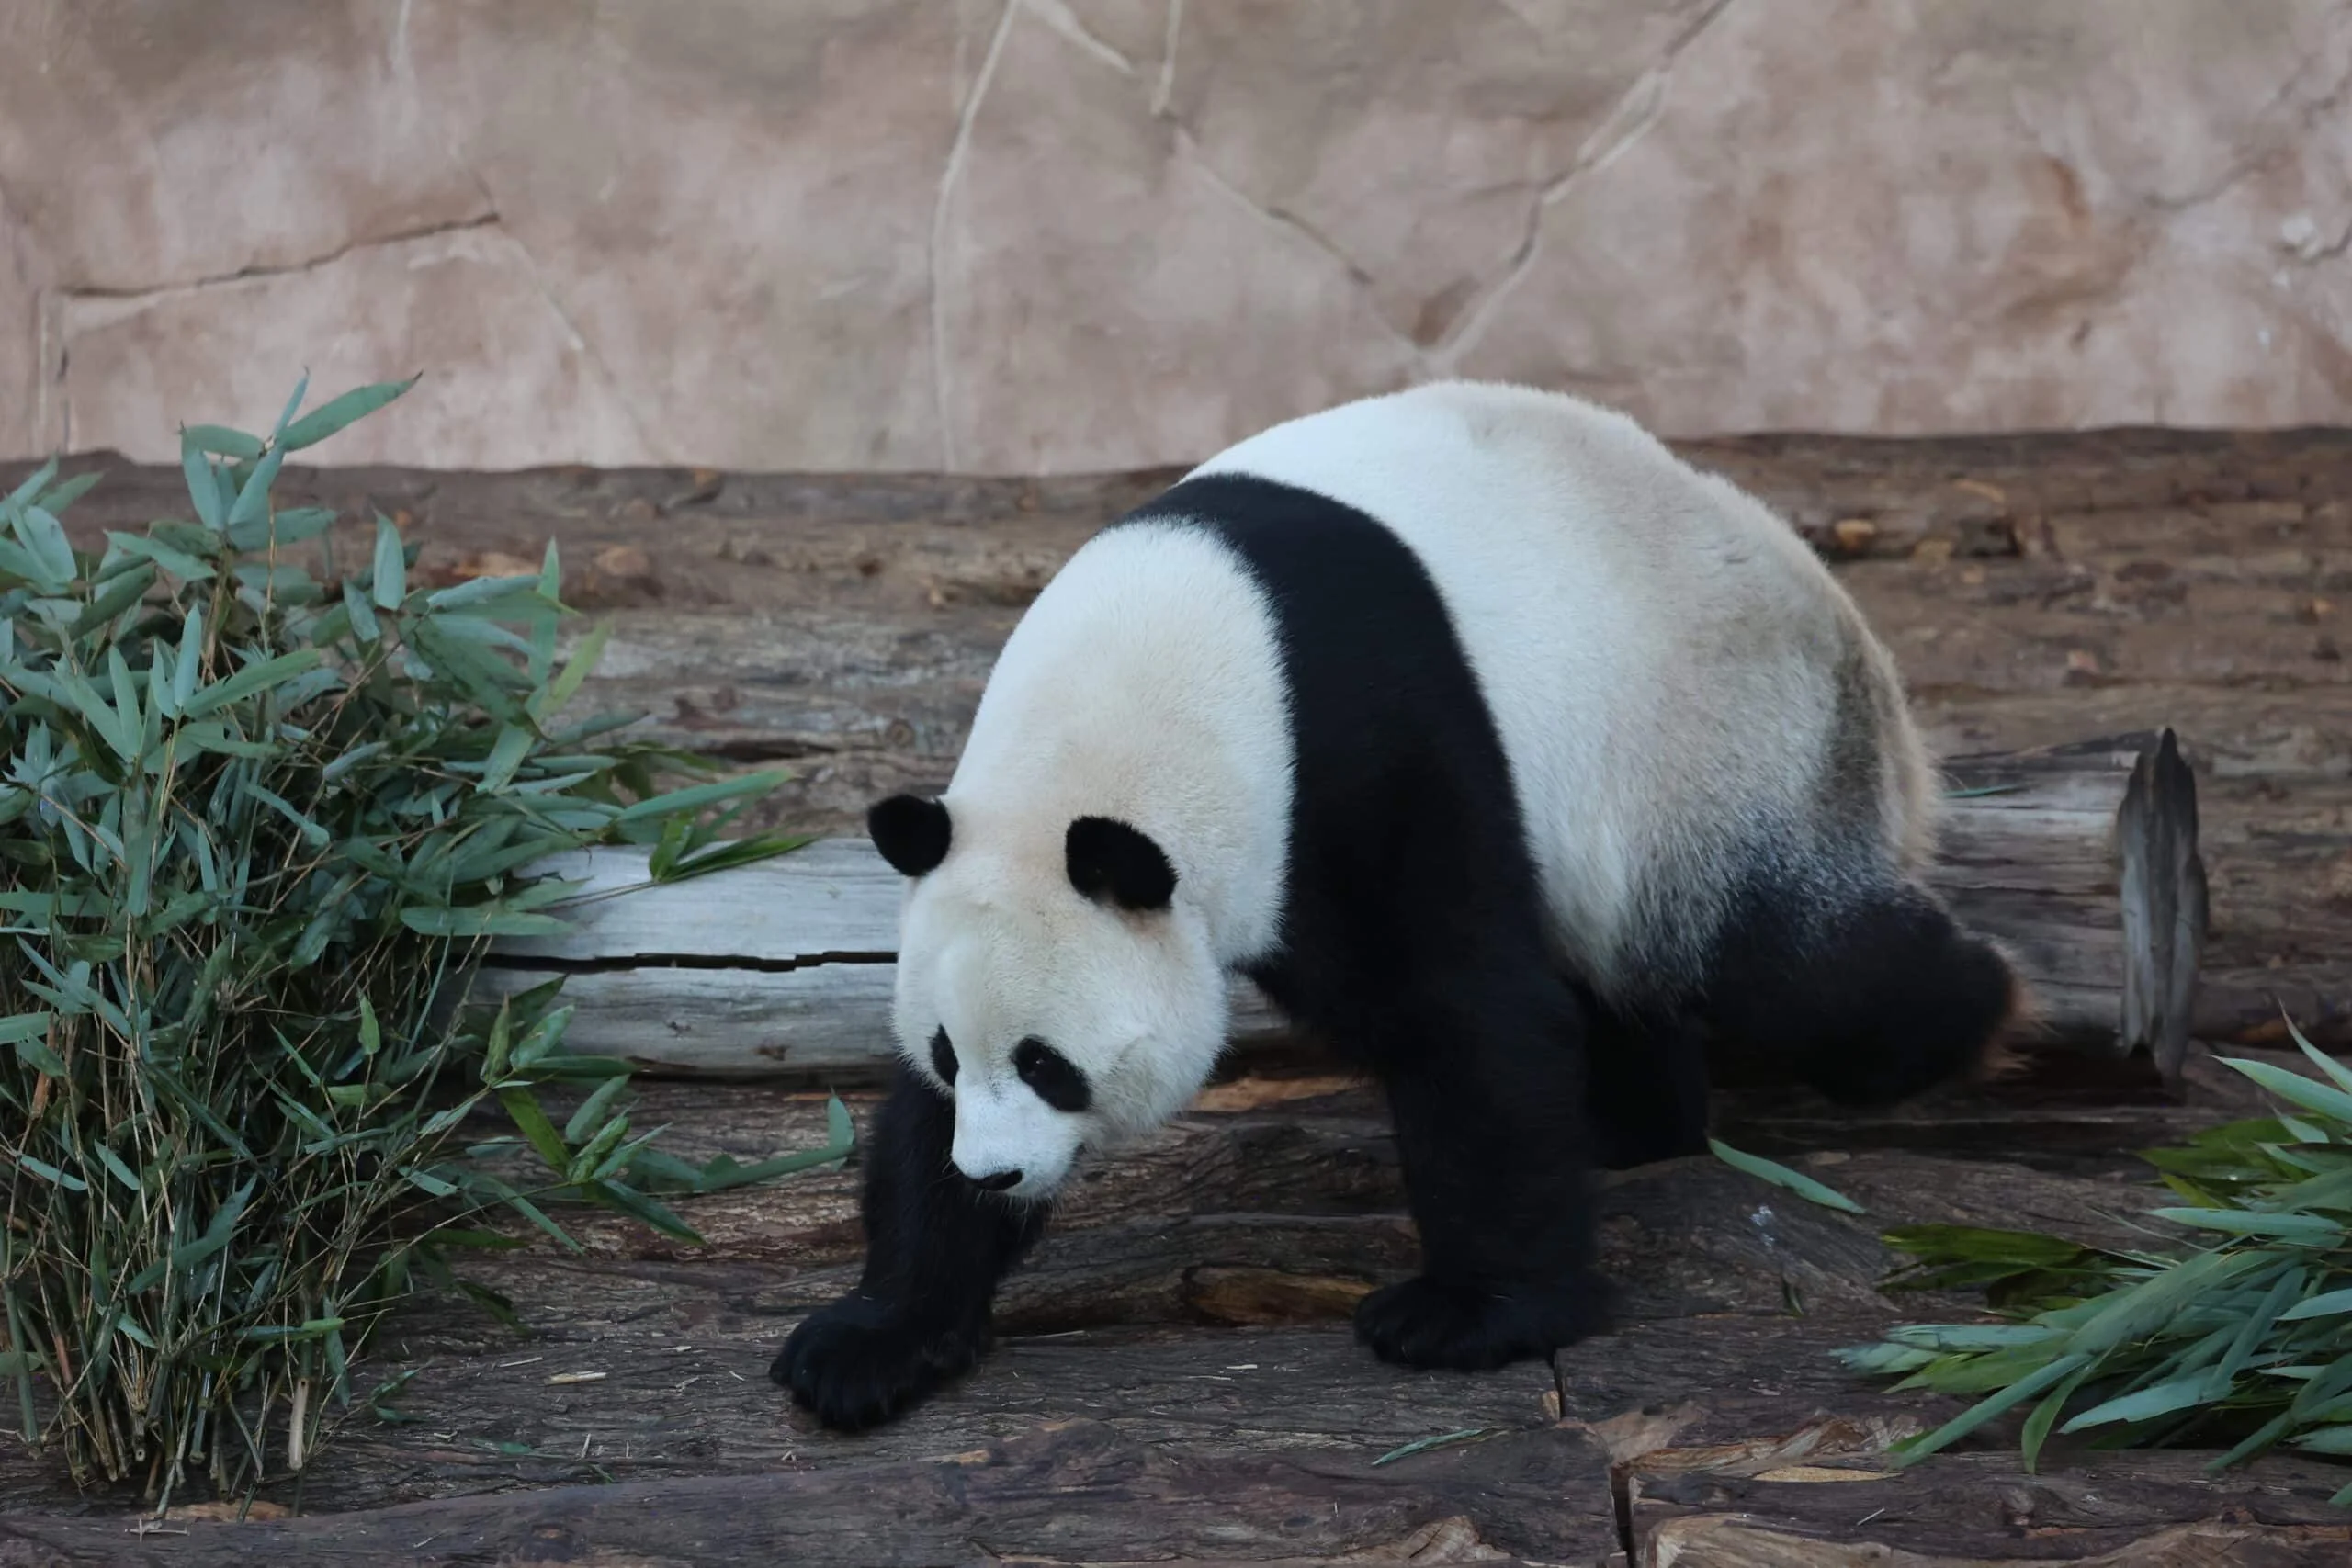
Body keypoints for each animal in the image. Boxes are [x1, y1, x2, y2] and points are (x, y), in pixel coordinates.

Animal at [771, 379, 2023, 1433]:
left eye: (1049, 1065)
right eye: (954, 1052)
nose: (992, 1175)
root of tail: (1858, 648)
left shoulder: (1360, 736)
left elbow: (1462, 1009)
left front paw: (1468, 1315)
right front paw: (871, 1339)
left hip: (1716, 749)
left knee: (1778, 961)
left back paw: (1969, 1023)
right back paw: (1631, 1126)